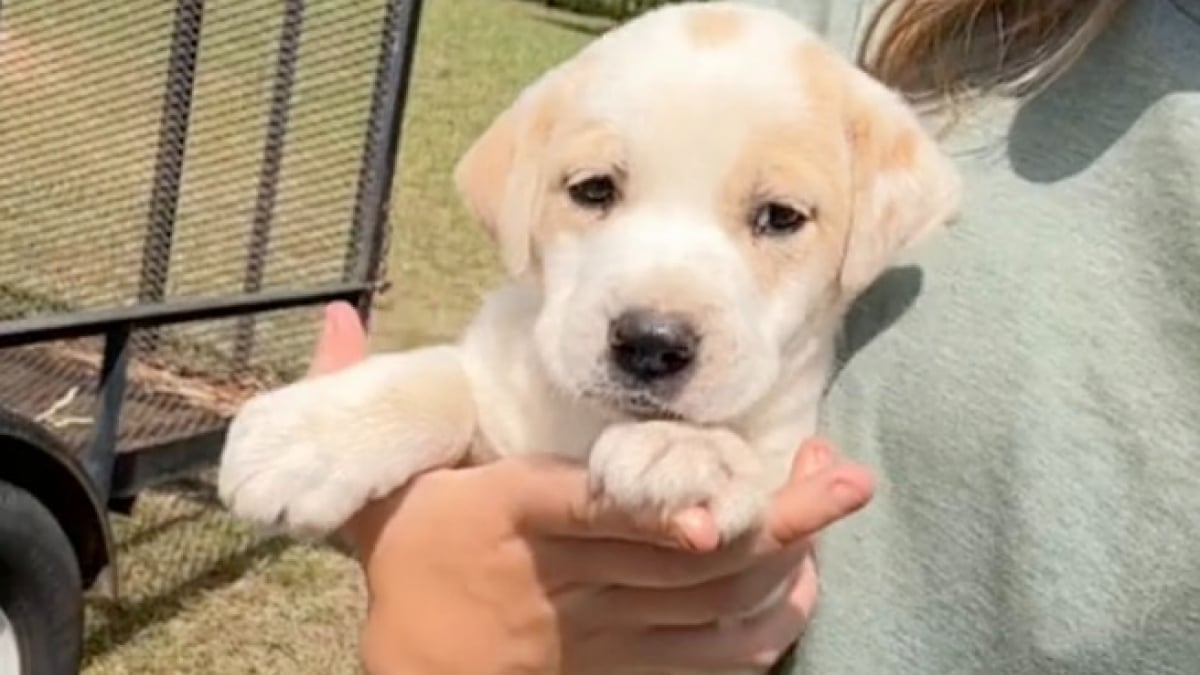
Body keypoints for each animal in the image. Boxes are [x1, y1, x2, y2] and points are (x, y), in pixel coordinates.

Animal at [220, 1, 960, 667]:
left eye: (780, 217)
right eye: (594, 190)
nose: (651, 343)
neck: (590, 425)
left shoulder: (764, 570)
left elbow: (746, 445)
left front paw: (684, 448)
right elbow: (444, 376)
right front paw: (312, 434)